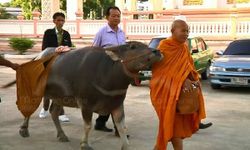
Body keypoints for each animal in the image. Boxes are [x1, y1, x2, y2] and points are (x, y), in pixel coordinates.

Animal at [18, 41, 162, 150]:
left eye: (145, 44)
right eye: (133, 46)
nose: (157, 51)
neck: (108, 73)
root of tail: (37, 57)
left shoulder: (117, 105)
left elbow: (122, 127)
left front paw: (125, 146)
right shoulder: (86, 104)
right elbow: (87, 126)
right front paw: (85, 144)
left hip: (59, 96)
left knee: (54, 112)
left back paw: (62, 135)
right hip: (35, 91)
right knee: (29, 108)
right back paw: (24, 130)